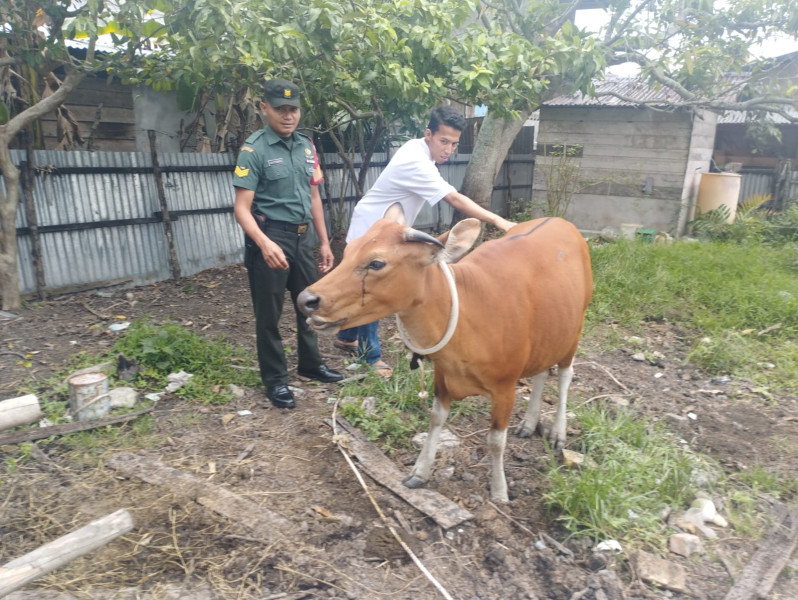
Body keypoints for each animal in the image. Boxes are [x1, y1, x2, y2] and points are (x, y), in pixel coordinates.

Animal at [296, 203, 592, 502]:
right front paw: (419, 472)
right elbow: (436, 419)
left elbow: (496, 440)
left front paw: (499, 490)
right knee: (542, 372)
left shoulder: (505, 385)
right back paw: (529, 424)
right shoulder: (442, 374)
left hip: (575, 328)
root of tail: (563, 223)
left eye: (376, 263)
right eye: (348, 251)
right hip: (549, 333)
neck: (469, 318)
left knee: (565, 375)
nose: (306, 299)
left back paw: (557, 433)